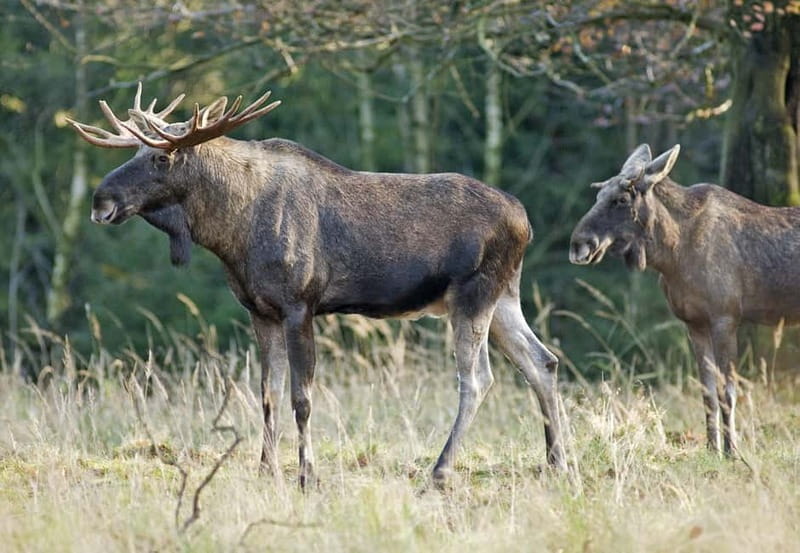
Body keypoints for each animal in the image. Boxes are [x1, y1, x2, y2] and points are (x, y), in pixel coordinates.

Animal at [68, 84, 567, 487]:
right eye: (132, 152)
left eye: (161, 156)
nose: (100, 200)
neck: (231, 233)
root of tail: (525, 221)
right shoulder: (260, 310)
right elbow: (266, 395)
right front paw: (266, 470)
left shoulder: (299, 304)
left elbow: (301, 398)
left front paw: (307, 475)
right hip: (503, 297)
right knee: (542, 361)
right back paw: (557, 462)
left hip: (472, 294)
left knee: (478, 378)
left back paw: (442, 470)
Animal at [569, 143, 800, 457]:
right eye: (598, 195)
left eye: (621, 199)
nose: (578, 244)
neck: (672, 253)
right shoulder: (694, 322)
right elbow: (707, 392)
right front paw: (713, 449)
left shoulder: (725, 317)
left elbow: (728, 391)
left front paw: (733, 451)